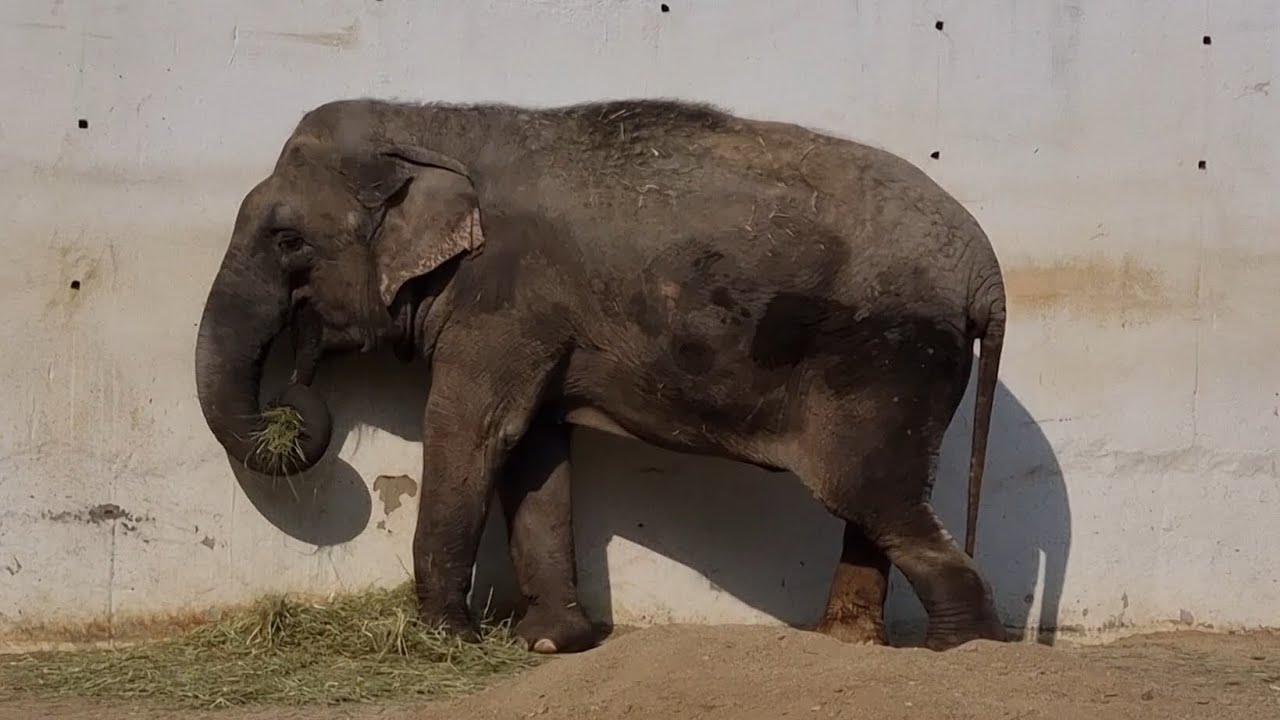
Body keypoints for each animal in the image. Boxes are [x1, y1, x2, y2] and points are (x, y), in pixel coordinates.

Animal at [194, 97, 1008, 655]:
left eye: (288, 239)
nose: (300, 384)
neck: (430, 123)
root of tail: (988, 275)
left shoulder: (505, 300)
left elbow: (472, 432)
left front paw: (447, 639)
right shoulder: (536, 322)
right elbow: (535, 449)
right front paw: (552, 643)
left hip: (887, 365)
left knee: (872, 497)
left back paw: (959, 653)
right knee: (876, 508)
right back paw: (848, 646)